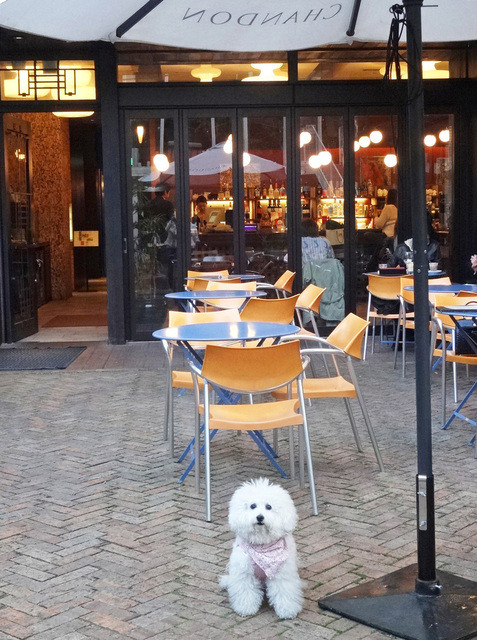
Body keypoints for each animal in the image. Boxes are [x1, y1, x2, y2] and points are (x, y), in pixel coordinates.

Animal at [220, 478, 303, 619]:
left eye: (269, 507)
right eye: (252, 506)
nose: (260, 517)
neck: (262, 544)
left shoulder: (281, 574)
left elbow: (284, 592)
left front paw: (287, 610)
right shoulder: (245, 573)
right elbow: (246, 592)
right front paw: (246, 608)